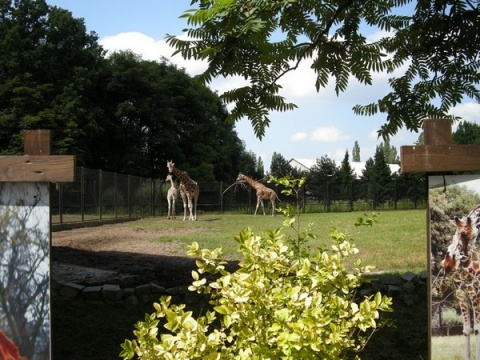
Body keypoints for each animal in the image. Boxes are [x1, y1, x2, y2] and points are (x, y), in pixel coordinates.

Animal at [438, 215, 480, 358]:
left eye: (475, 235)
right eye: (457, 233)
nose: (448, 265)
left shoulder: (475, 292)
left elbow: (477, 329)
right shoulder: (461, 293)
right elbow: (467, 329)